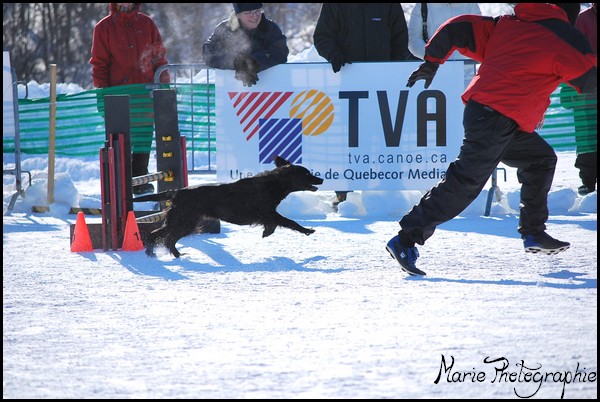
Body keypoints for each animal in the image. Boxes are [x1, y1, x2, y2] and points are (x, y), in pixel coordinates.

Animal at [132, 155, 324, 256]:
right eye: (306, 174)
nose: (321, 179)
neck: (273, 184)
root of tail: (177, 192)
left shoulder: (268, 214)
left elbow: (278, 223)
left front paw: (267, 232)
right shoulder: (266, 212)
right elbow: (289, 221)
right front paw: (307, 230)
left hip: (183, 221)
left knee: (160, 235)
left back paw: (157, 253)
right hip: (185, 221)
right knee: (166, 237)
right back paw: (168, 254)